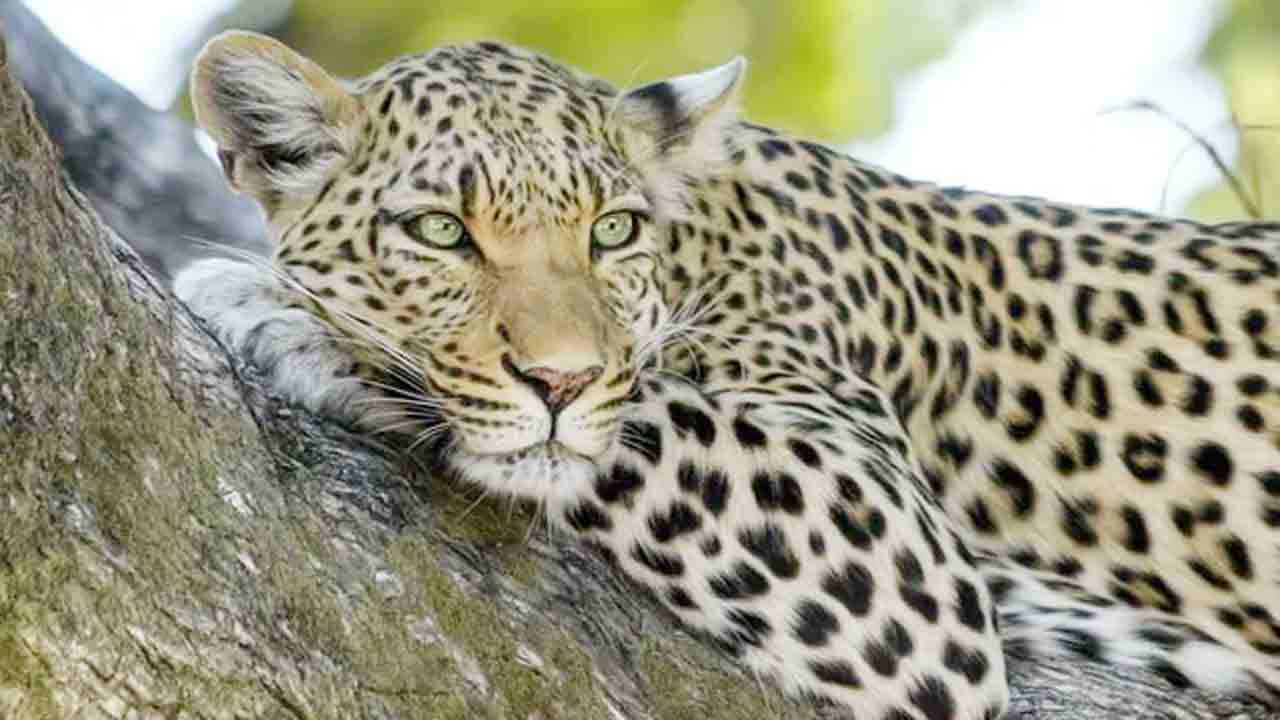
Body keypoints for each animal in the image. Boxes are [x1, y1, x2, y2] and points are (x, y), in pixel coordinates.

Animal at [174, 30, 1280, 718]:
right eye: (441, 232)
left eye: (611, 232)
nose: (560, 382)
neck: (708, 241)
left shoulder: (898, 553)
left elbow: (646, 417)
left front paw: (285, 314)